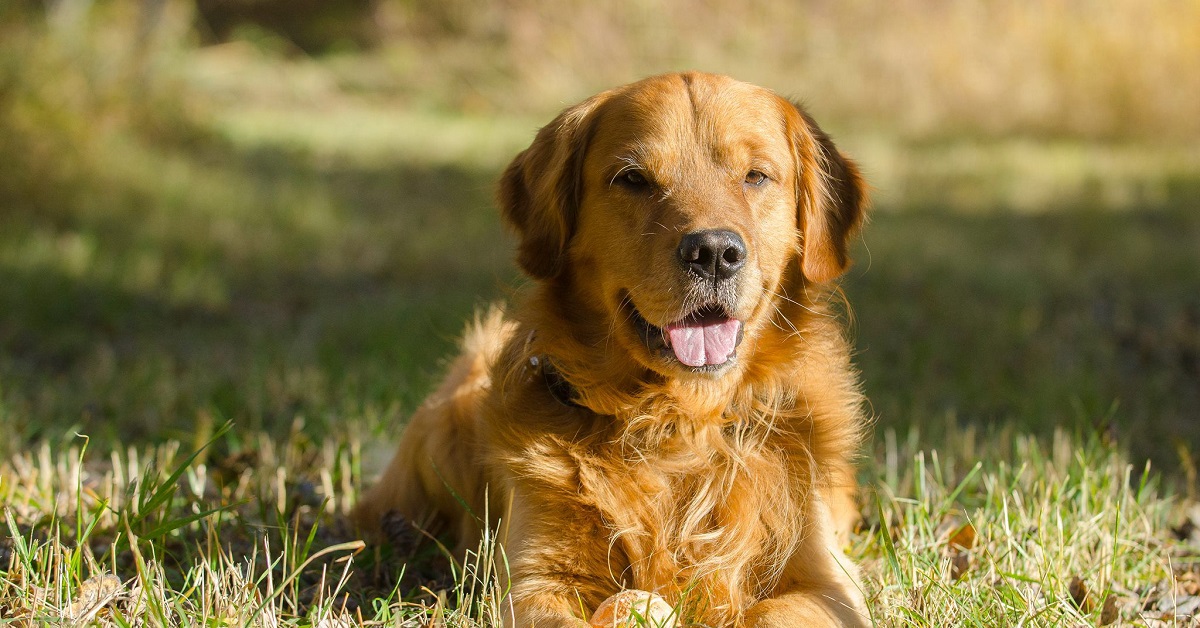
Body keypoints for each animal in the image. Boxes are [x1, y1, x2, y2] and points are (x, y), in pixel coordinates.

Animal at [350, 71, 868, 624]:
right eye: (633, 179)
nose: (713, 253)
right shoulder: (533, 582)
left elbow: (773, 612)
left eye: (756, 176)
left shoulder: (829, 582)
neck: (676, 424)